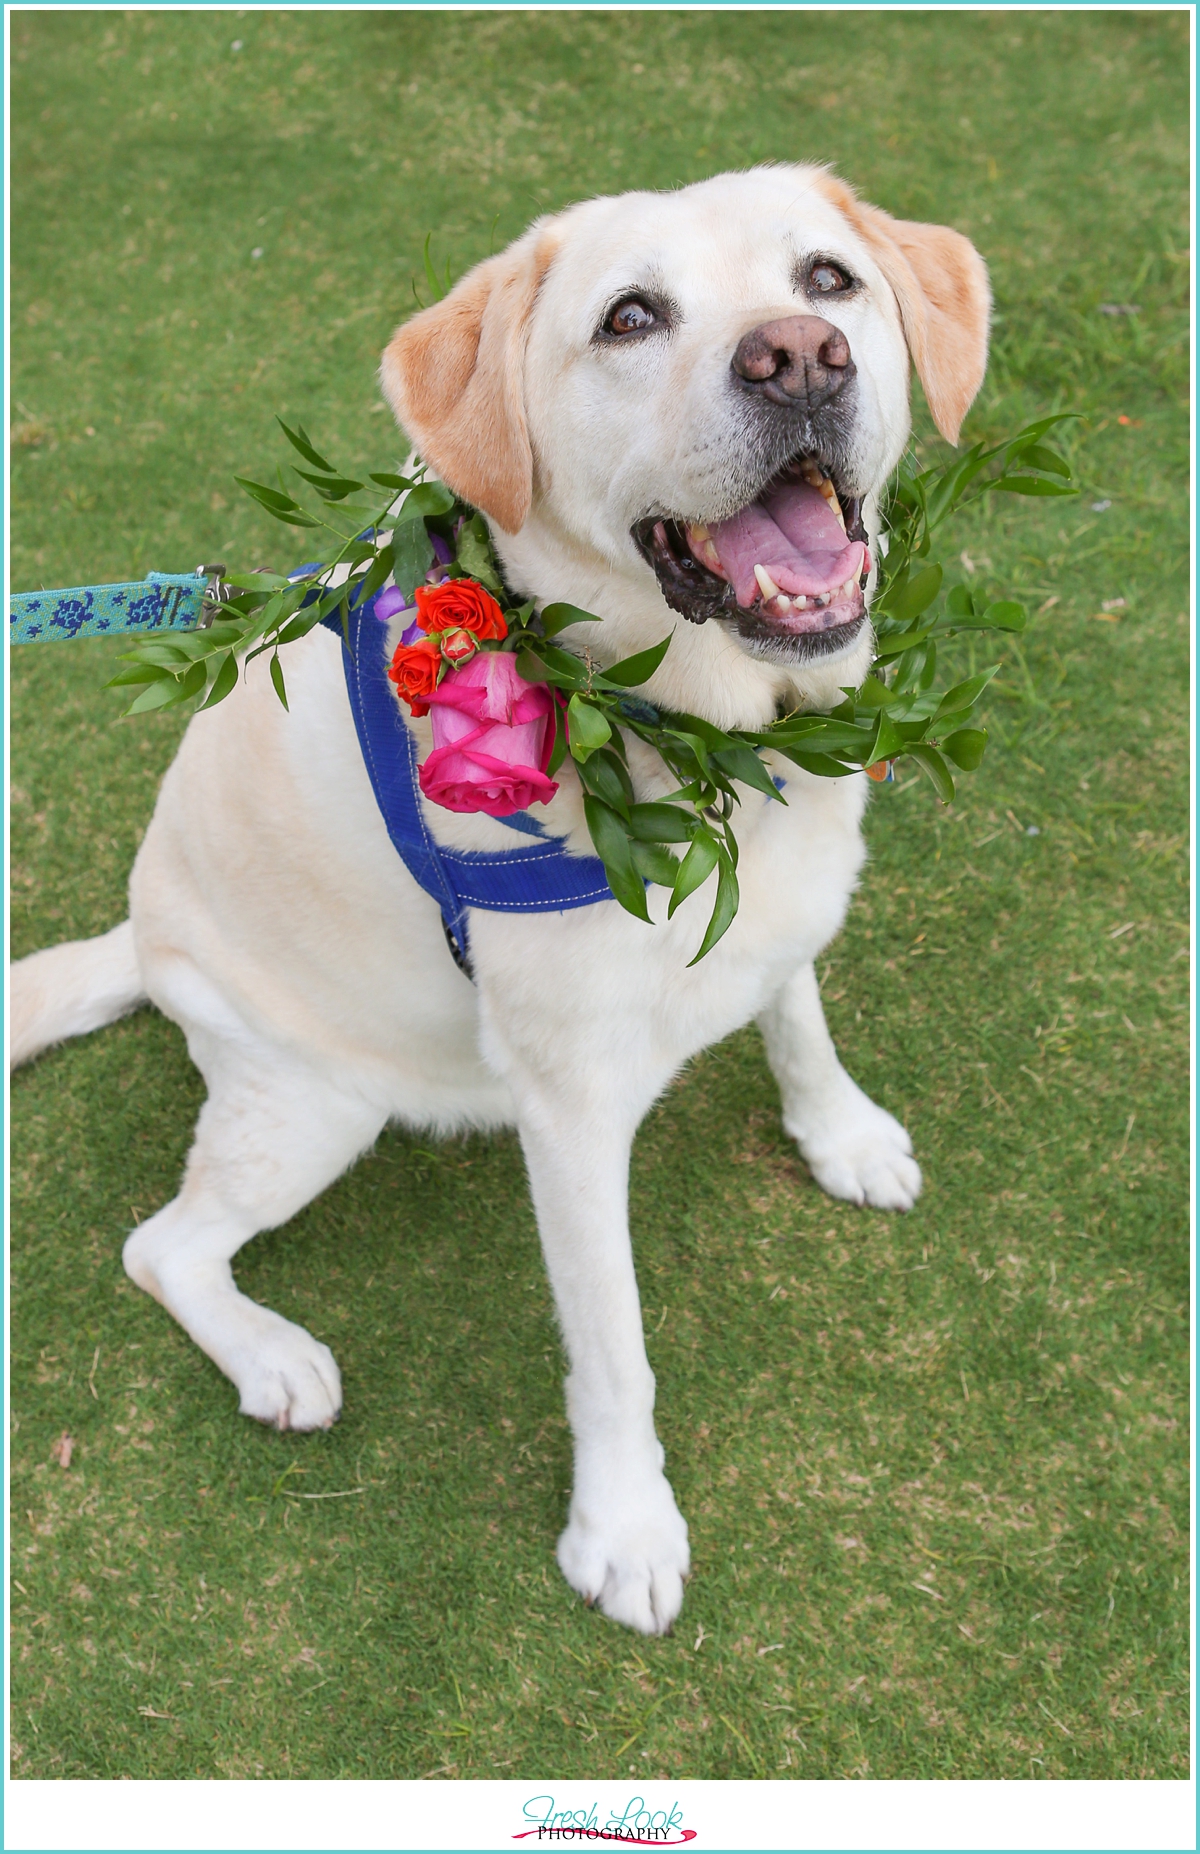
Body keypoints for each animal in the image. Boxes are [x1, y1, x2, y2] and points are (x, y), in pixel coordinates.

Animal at [9, 163, 994, 1638]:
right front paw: (624, 1529)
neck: (695, 739)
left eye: (829, 280)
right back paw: (274, 1357)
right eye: (630, 316)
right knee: (160, 1246)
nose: (800, 358)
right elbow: (615, 1351)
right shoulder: (571, 1118)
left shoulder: (785, 900)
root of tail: (143, 934)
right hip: (316, 1104)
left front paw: (840, 1133)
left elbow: (795, 1011)